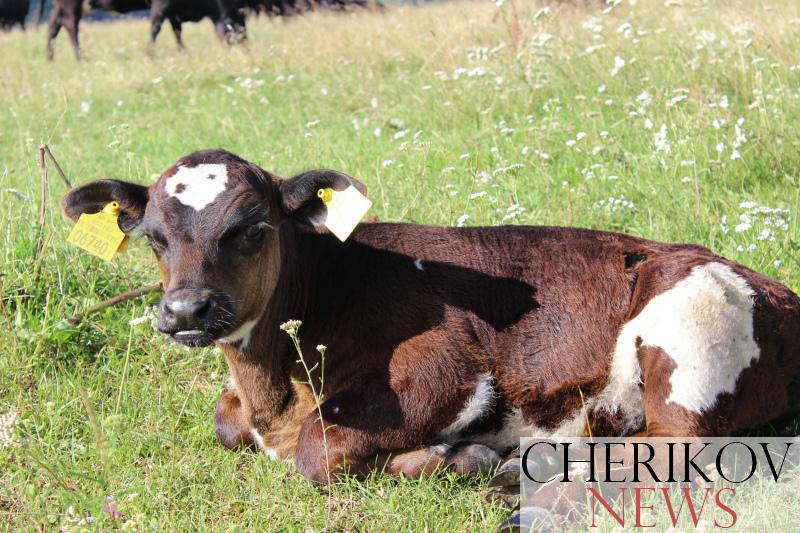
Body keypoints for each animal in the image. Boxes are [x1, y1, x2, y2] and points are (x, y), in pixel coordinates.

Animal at [61, 150, 800, 486]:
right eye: (155, 237)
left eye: (252, 229)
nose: (185, 308)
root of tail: (779, 290)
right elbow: (225, 422)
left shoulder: (448, 368)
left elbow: (317, 453)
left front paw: (459, 451)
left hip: (690, 331)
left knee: (674, 449)